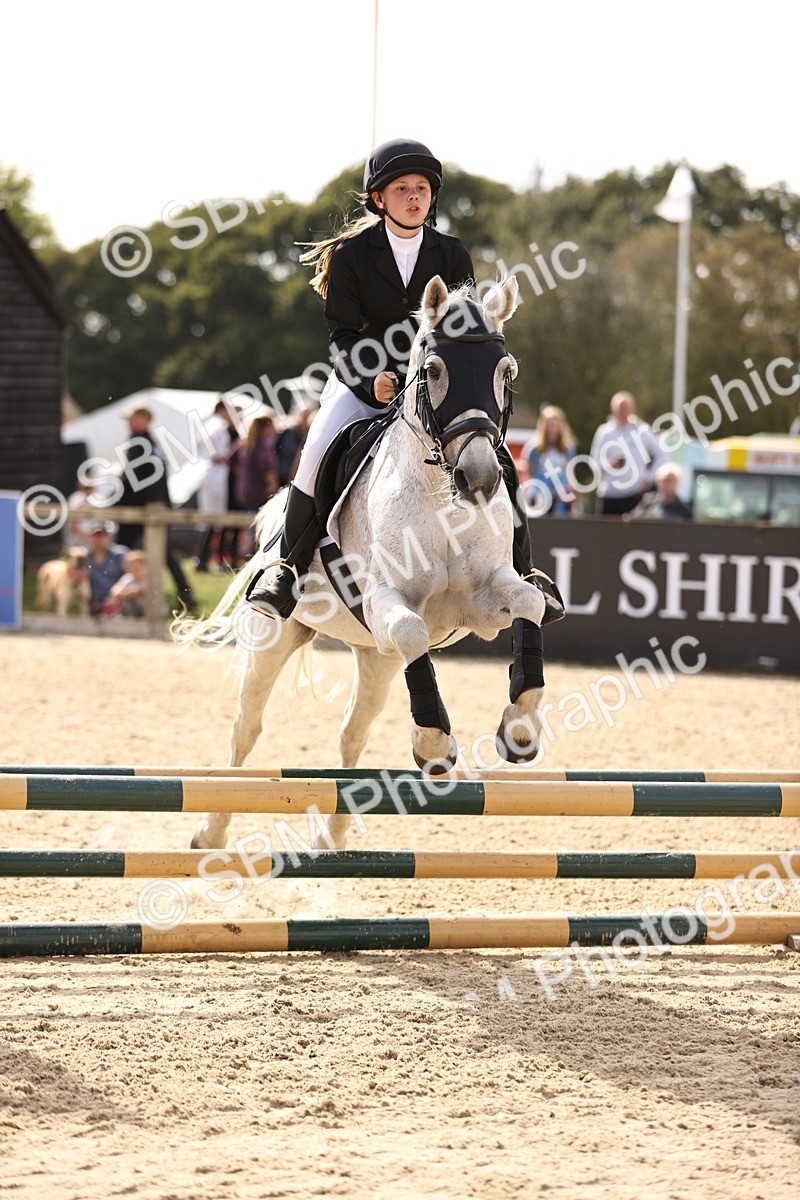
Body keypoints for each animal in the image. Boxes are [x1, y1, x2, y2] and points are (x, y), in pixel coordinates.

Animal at [175, 275, 547, 850]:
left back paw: (332, 838)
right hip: (275, 638)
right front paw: (435, 746)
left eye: (505, 372)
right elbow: (415, 630)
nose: (481, 480)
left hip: (378, 655)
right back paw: (210, 833)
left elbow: (529, 601)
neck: (442, 494)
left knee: (354, 731)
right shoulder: (385, 600)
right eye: (433, 370)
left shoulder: (488, 596)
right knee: (246, 729)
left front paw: (520, 727)